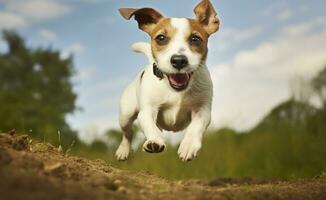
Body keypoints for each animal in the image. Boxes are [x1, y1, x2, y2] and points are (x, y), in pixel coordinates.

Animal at [114, 0, 219, 162]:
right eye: (161, 38)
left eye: (195, 39)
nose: (179, 60)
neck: (176, 91)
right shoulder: (147, 111)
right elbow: (150, 126)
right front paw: (154, 141)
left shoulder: (202, 110)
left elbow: (196, 127)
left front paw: (188, 145)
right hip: (125, 115)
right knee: (127, 134)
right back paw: (123, 150)